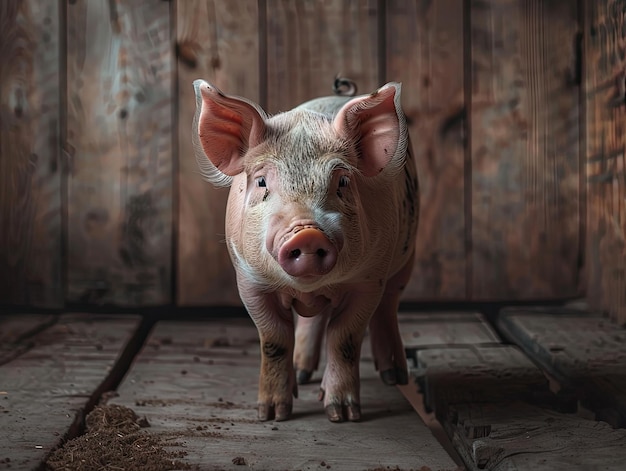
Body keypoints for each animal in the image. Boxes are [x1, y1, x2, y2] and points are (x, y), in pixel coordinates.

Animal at [193, 78, 416, 424]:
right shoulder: (249, 281)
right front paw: (272, 415)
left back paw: (394, 377)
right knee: (314, 320)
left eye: (343, 181)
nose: (307, 233)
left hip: (407, 257)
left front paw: (343, 415)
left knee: (388, 306)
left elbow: (345, 339)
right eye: (261, 182)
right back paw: (301, 373)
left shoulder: (368, 281)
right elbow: (274, 339)